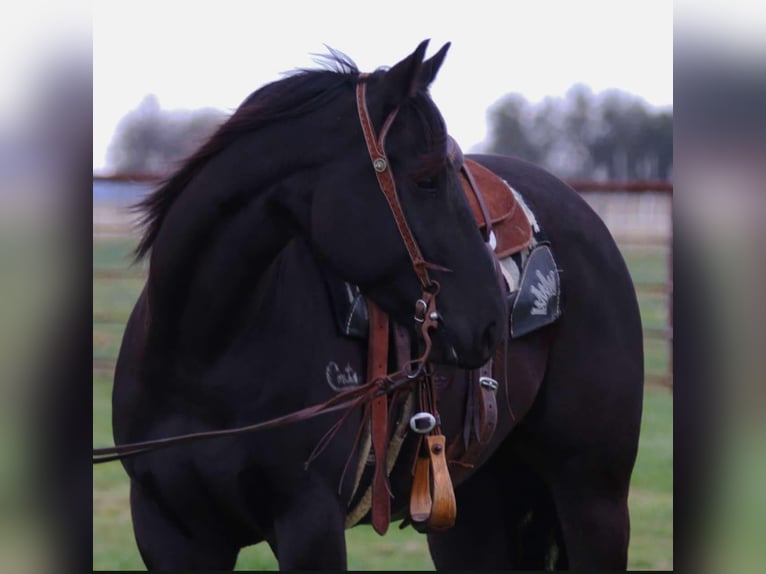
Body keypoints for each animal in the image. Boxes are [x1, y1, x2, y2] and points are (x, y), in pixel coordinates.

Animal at [105, 41, 644, 570]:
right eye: (426, 179)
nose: (493, 320)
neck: (205, 354)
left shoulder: (310, 524)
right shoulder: (170, 532)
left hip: (592, 496)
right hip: (472, 511)